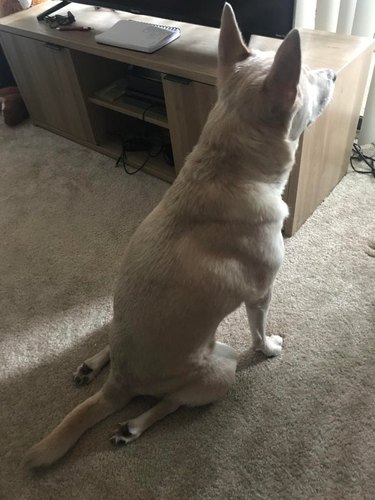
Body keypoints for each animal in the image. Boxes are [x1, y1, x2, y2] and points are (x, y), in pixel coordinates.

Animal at [25, 2, 336, 468]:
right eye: (309, 78)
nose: (333, 73)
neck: (226, 168)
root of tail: (120, 386)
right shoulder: (261, 293)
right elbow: (259, 332)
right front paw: (270, 348)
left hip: (118, 320)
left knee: (111, 340)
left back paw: (93, 366)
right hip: (223, 364)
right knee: (172, 402)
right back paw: (133, 425)